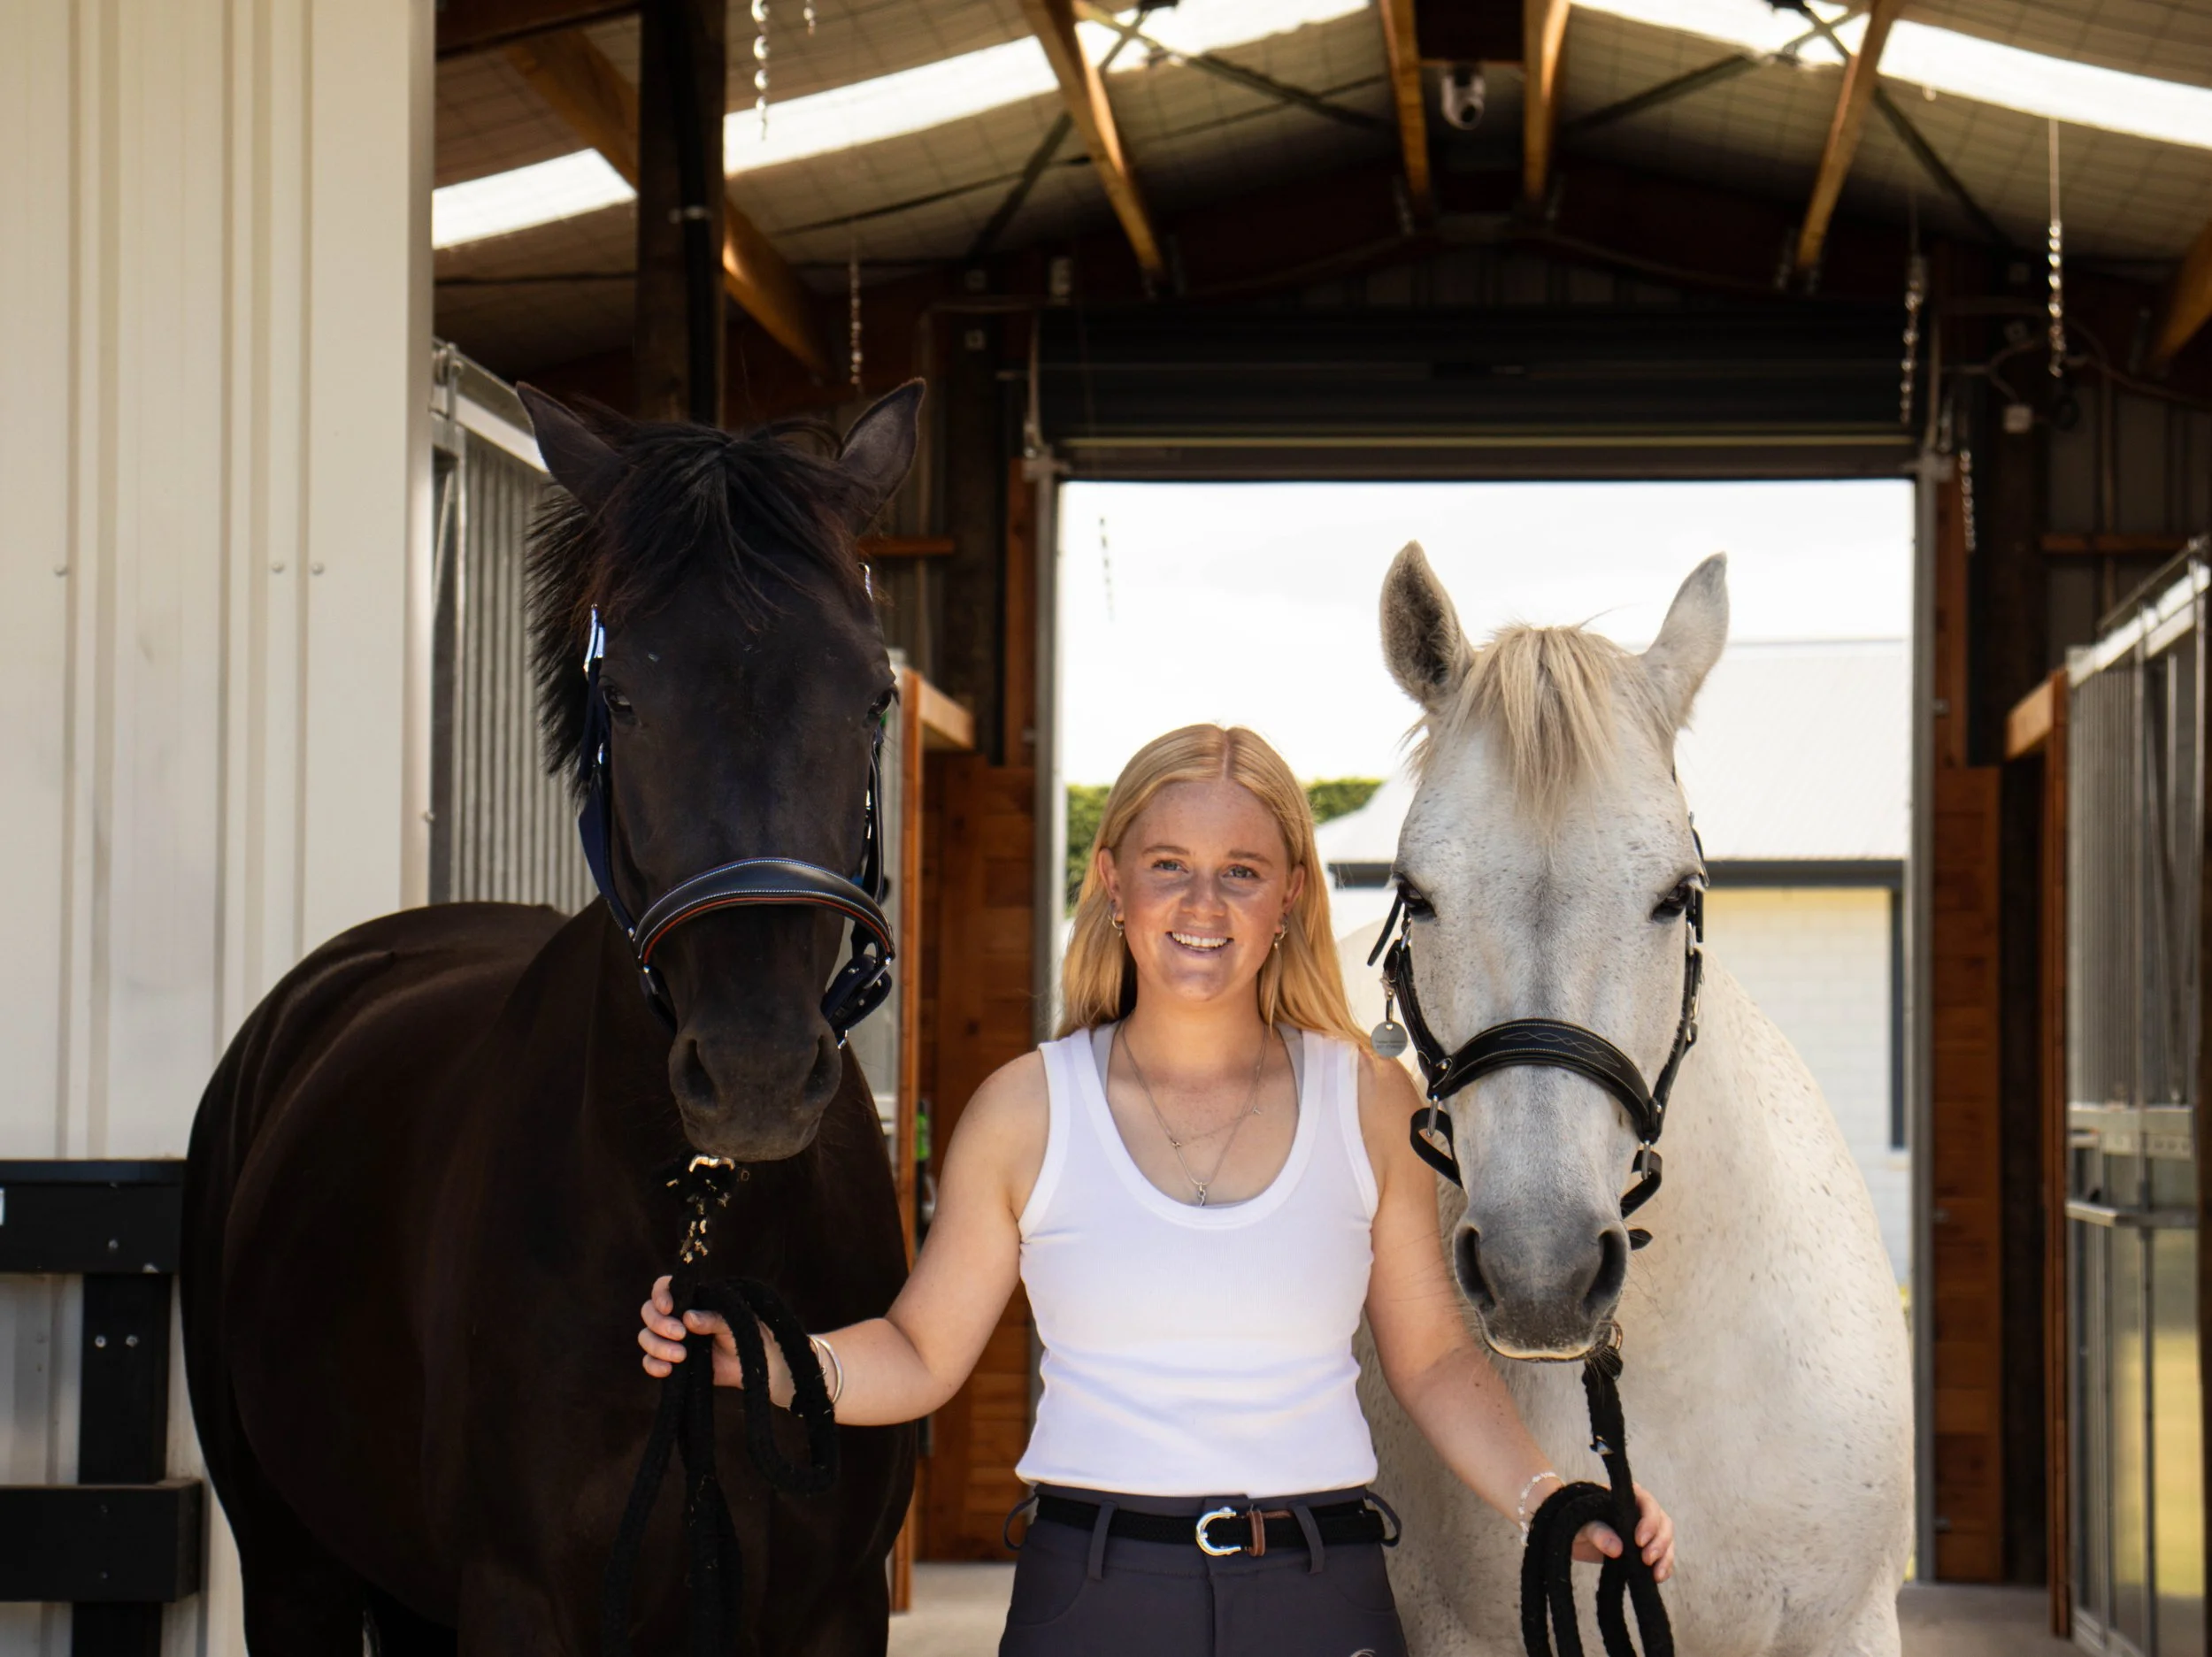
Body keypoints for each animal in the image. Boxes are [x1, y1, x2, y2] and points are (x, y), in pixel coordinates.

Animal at [180, 384, 924, 1654]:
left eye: (873, 694)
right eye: (623, 694)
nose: (758, 1073)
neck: (699, 1233)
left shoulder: (836, 1607)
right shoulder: (518, 1596)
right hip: (291, 1568)